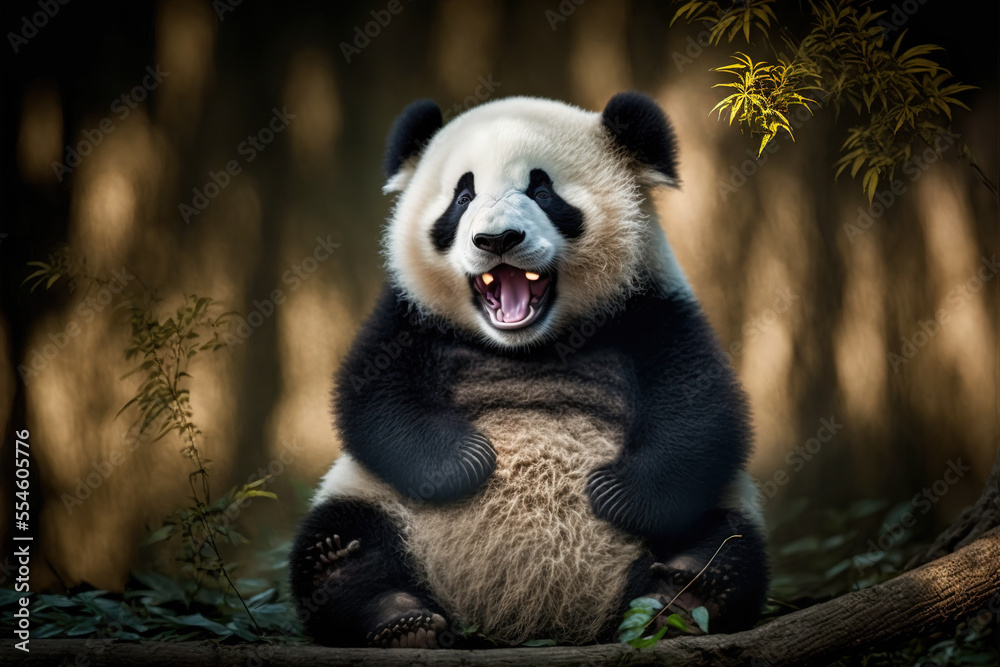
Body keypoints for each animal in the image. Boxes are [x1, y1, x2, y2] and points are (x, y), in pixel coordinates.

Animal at [289, 92, 769, 648]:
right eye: (462, 196)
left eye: (542, 191)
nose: (497, 239)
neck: (528, 347)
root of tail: (533, 620)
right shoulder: (407, 319)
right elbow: (372, 402)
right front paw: (465, 460)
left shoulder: (654, 310)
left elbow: (703, 412)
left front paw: (615, 492)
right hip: (373, 500)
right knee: (340, 544)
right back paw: (394, 613)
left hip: (717, 508)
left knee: (729, 540)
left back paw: (687, 593)